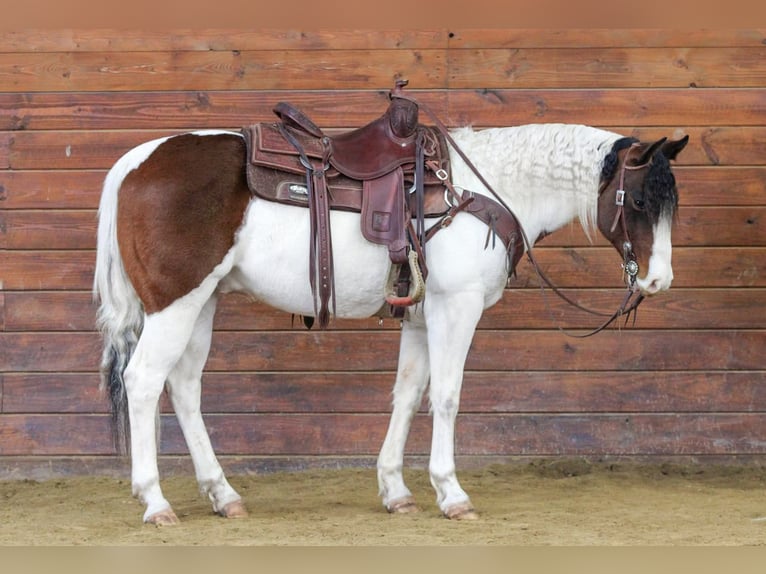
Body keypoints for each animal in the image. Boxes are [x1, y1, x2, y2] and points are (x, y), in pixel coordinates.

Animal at [93, 110, 688, 524]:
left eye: (671, 205)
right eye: (638, 201)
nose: (658, 281)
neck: (481, 188)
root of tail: (134, 162)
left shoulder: (421, 317)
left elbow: (407, 395)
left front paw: (396, 491)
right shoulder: (456, 307)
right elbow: (446, 396)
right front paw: (451, 493)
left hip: (203, 303)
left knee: (184, 387)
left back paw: (223, 495)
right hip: (176, 305)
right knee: (144, 382)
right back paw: (155, 502)